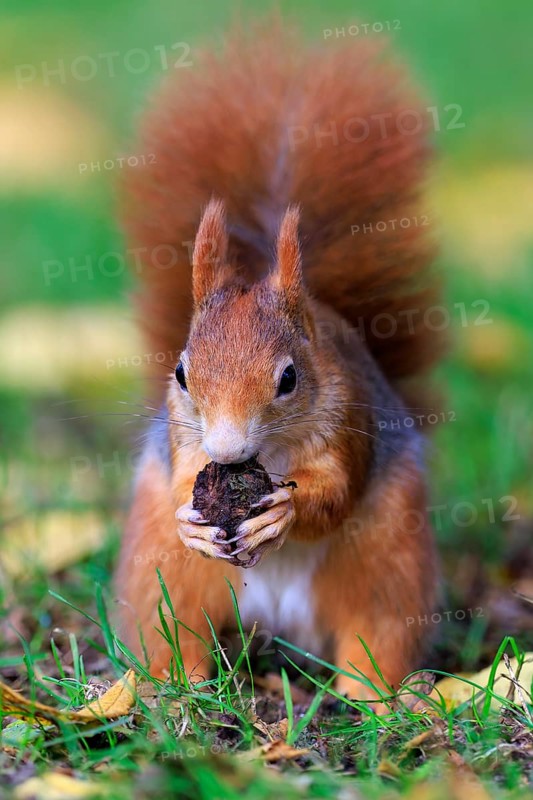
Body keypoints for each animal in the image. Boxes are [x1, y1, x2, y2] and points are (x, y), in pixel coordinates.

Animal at [114, 21, 443, 706]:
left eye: (289, 378)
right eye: (181, 373)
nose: (228, 449)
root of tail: (276, 622)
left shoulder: (349, 422)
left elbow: (337, 491)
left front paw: (285, 512)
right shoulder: (182, 440)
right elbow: (185, 476)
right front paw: (194, 517)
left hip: (388, 558)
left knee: (378, 632)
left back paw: (378, 698)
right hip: (160, 572)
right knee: (173, 631)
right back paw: (173, 686)